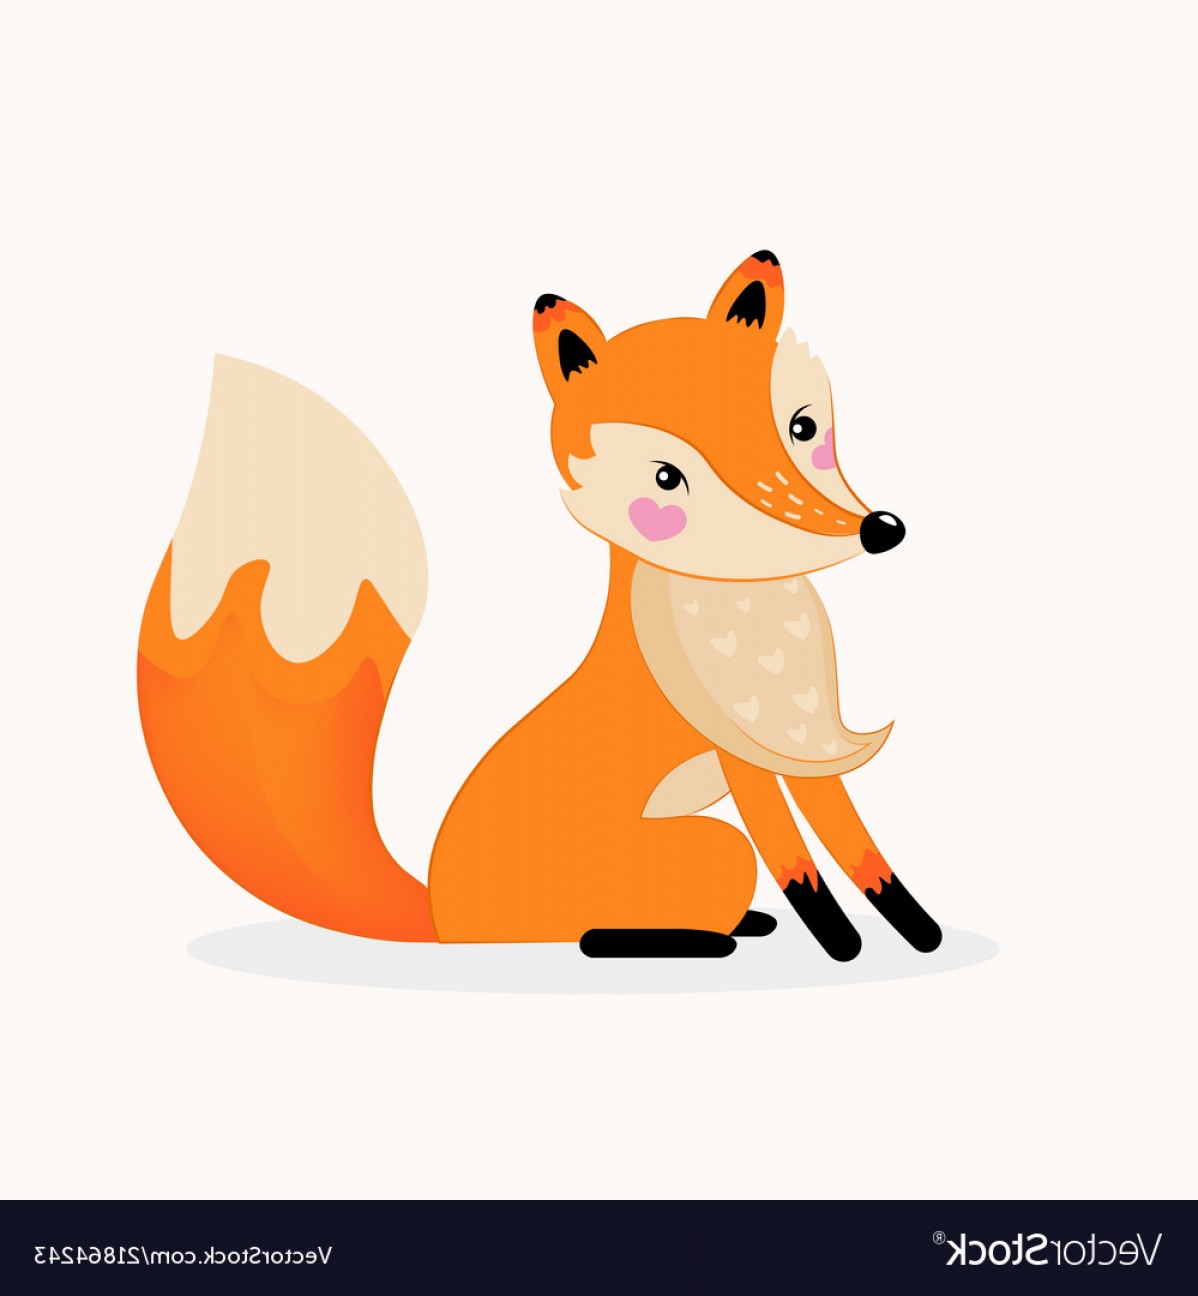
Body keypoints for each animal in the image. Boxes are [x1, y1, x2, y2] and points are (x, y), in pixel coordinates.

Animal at [137, 250, 941, 961]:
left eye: (802, 428)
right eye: (667, 478)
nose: (878, 530)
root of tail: (443, 914)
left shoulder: (804, 742)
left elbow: (865, 854)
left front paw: (918, 932)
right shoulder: (744, 754)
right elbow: (800, 868)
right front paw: (842, 945)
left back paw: (742, 926)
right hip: (710, 849)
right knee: (597, 934)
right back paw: (698, 939)